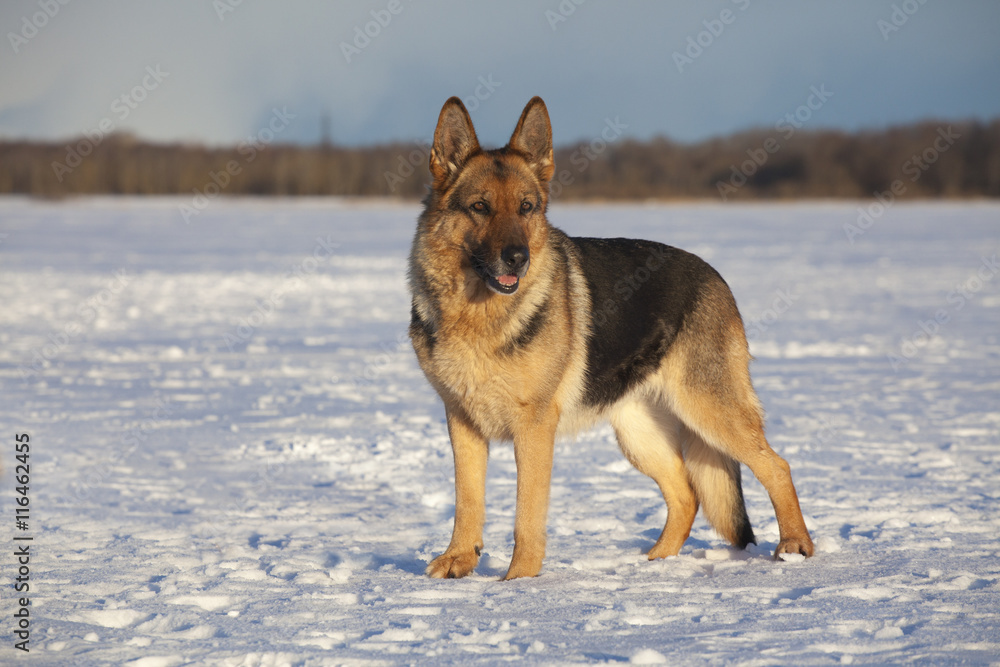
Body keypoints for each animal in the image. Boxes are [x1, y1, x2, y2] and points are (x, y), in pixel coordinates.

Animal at [408, 96, 812, 580]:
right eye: (480, 207)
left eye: (526, 207)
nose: (518, 258)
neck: (477, 314)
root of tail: (714, 275)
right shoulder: (462, 422)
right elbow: (467, 501)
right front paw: (459, 561)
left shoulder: (534, 428)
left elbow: (527, 513)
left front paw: (519, 580)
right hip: (639, 433)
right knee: (686, 493)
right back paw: (655, 564)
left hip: (709, 410)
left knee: (777, 466)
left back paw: (795, 546)